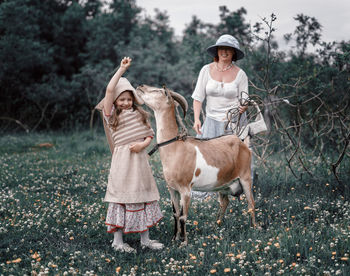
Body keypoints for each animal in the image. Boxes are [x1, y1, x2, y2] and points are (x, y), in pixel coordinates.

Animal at [135, 84, 256, 246]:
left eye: (159, 91)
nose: (141, 86)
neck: (175, 148)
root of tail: (243, 143)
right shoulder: (172, 188)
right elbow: (175, 213)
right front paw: (174, 238)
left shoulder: (186, 189)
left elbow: (183, 216)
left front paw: (184, 242)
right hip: (223, 184)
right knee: (225, 202)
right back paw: (216, 226)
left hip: (245, 178)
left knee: (251, 204)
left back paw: (255, 228)